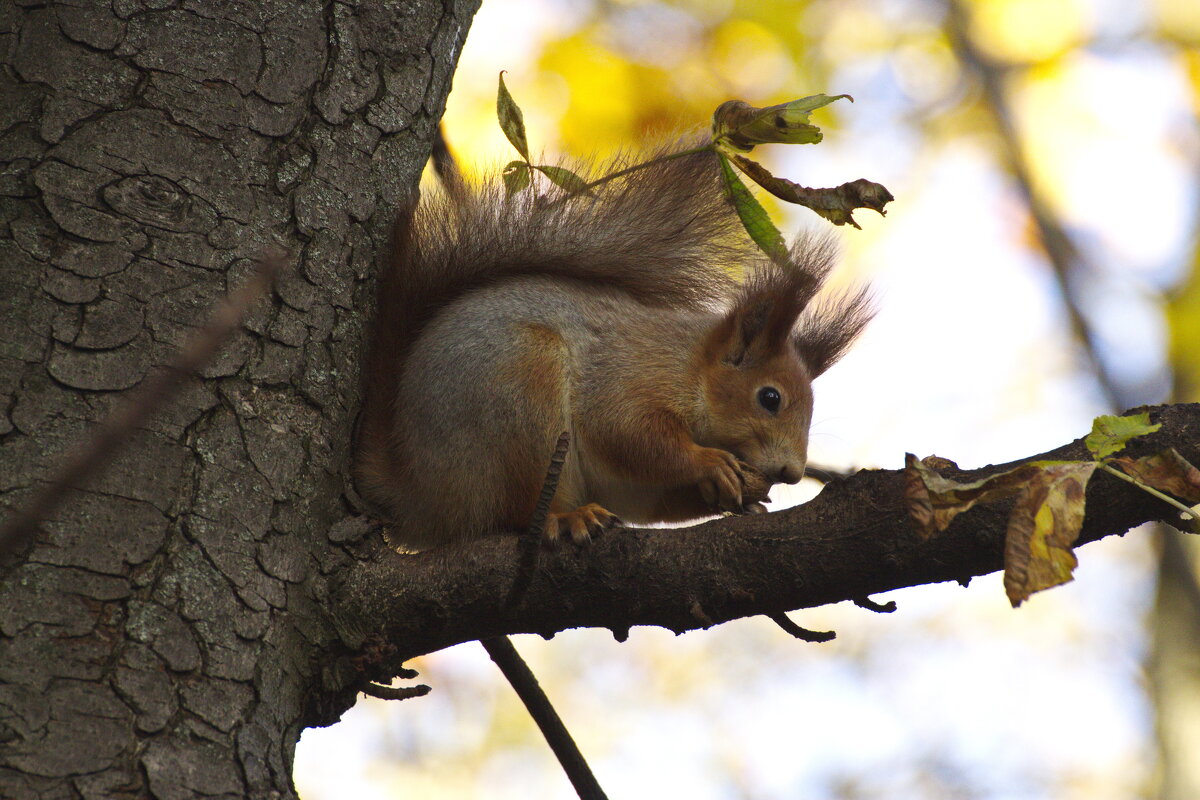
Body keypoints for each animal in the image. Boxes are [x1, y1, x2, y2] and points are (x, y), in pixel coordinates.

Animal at [355, 148, 873, 551]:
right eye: (770, 398)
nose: (792, 472)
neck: (690, 366)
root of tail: (420, 495)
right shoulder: (629, 374)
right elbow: (628, 432)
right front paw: (708, 463)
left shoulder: (632, 486)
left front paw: (739, 495)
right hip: (519, 391)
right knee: (517, 511)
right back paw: (564, 517)